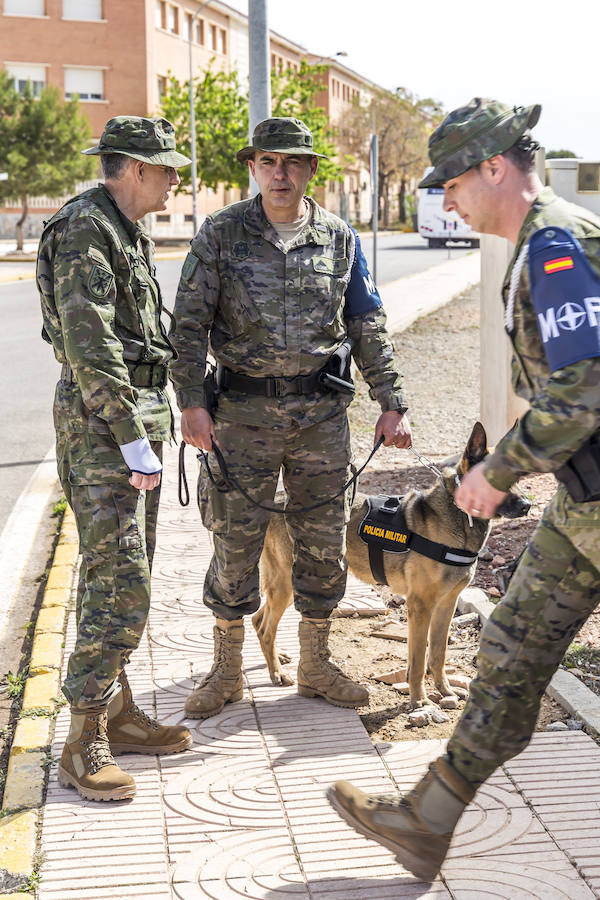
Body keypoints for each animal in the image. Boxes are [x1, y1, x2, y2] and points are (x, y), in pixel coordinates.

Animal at [253, 422, 528, 712]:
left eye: (519, 476)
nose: (527, 505)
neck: (459, 515)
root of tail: (278, 498)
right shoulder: (420, 606)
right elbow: (418, 660)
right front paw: (419, 699)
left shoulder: (446, 605)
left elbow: (438, 654)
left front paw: (445, 690)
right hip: (290, 582)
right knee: (266, 627)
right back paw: (276, 673)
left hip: (287, 583)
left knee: (258, 620)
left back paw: (279, 658)